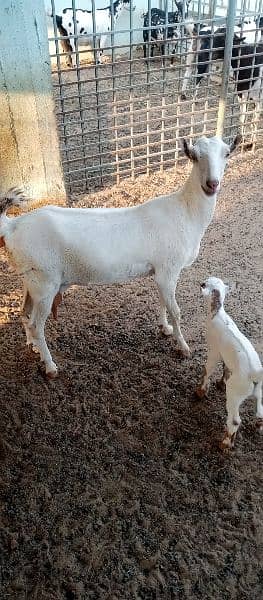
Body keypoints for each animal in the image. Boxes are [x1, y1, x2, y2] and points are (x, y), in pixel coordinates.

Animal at [0, 138, 240, 378]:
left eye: (226, 153)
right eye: (195, 156)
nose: (212, 184)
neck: (186, 212)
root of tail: (12, 226)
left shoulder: (160, 271)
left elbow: (163, 301)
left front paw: (165, 328)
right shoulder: (169, 268)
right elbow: (176, 310)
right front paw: (183, 347)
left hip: (30, 279)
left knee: (24, 314)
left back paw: (33, 348)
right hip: (45, 283)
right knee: (36, 325)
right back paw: (50, 366)